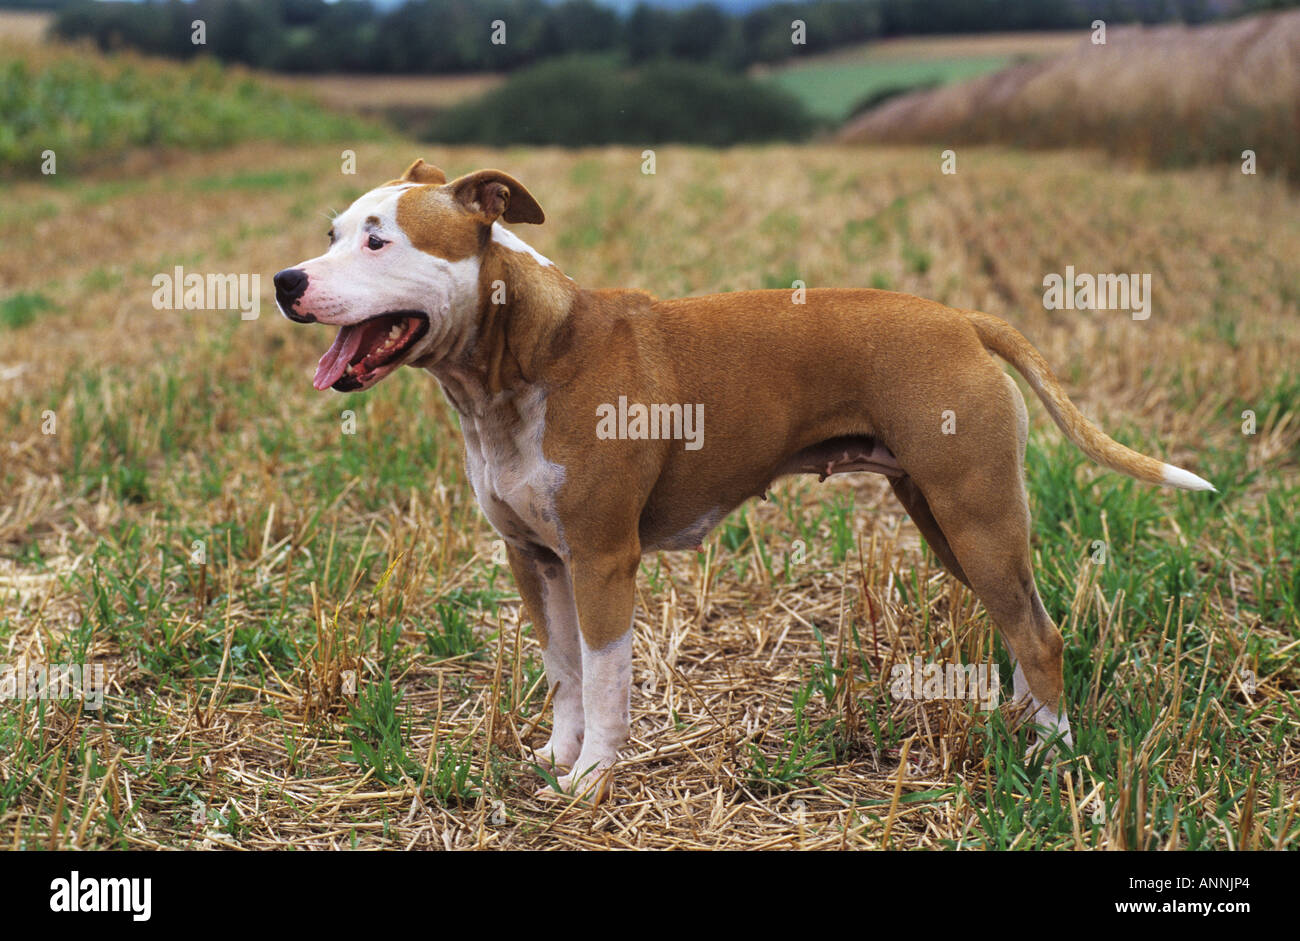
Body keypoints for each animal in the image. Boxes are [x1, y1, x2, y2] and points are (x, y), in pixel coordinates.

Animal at [269, 159, 1211, 800]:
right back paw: (1022, 722)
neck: (526, 357)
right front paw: (557, 756)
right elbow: (564, 669)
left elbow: (605, 677)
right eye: (331, 233)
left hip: (975, 513)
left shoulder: (603, 560)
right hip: (951, 521)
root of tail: (963, 319)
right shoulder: (534, 558)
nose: (285, 279)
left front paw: (594, 778)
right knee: (1020, 618)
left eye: (380, 239)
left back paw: (1056, 754)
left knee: (1040, 633)